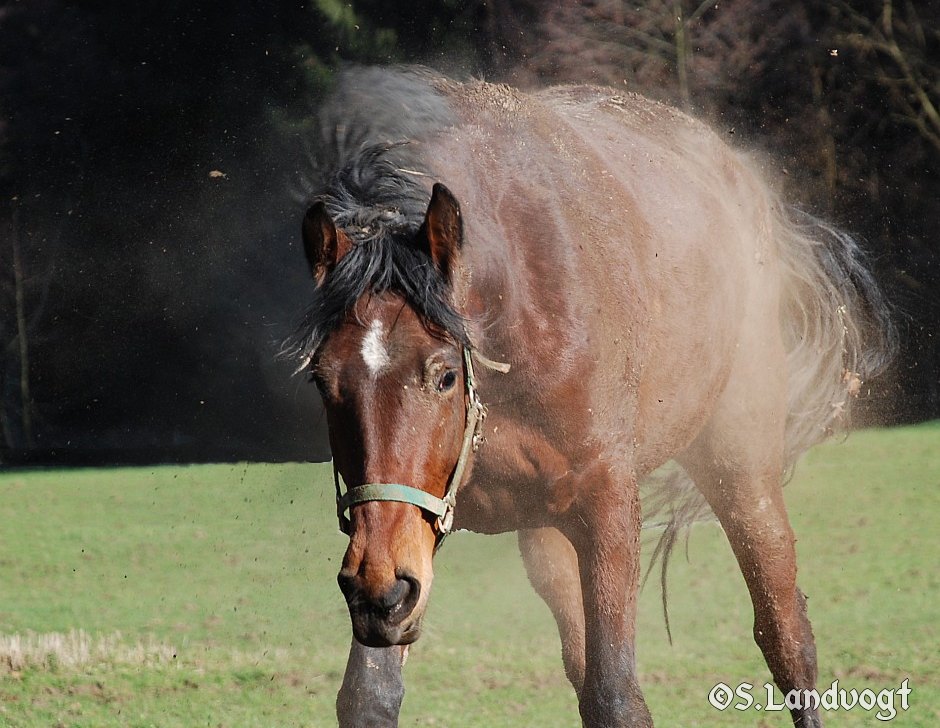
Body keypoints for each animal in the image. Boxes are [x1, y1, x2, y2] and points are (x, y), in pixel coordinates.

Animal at [284, 68, 888, 728]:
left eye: (443, 376)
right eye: (323, 381)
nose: (379, 592)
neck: (517, 301)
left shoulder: (608, 508)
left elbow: (617, 695)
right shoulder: (411, 543)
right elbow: (369, 696)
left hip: (740, 473)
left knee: (786, 636)